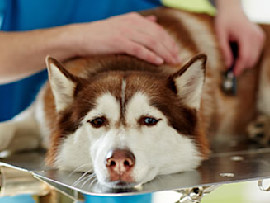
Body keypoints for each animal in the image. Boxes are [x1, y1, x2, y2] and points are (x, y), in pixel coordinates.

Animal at [0, 7, 270, 189]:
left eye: (149, 120)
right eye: (97, 121)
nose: (119, 161)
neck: (123, 60)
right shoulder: (38, 117)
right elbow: (8, 129)